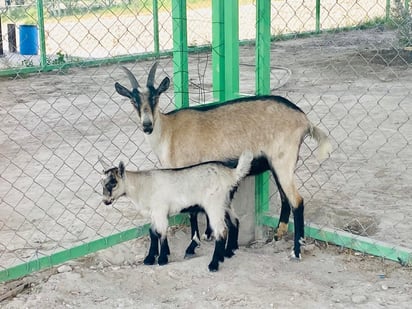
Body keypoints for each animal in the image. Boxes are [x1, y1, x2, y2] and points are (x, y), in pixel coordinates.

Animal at [101, 150, 253, 270]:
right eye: (102, 183)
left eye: (113, 183)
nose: (105, 201)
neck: (141, 185)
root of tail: (231, 173)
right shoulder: (154, 213)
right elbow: (152, 232)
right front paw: (150, 258)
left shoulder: (160, 210)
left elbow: (161, 232)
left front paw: (162, 259)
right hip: (225, 203)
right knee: (234, 221)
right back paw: (229, 252)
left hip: (214, 205)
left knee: (221, 230)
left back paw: (214, 264)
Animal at [114, 61, 334, 258]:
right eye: (133, 100)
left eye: (155, 97)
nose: (147, 125)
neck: (169, 131)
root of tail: (304, 119)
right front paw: (208, 235)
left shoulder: (188, 173)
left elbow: (192, 211)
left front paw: (193, 244)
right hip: (277, 164)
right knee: (285, 197)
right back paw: (278, 236)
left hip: (283, 161)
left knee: (297, 201)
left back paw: (296, 251)